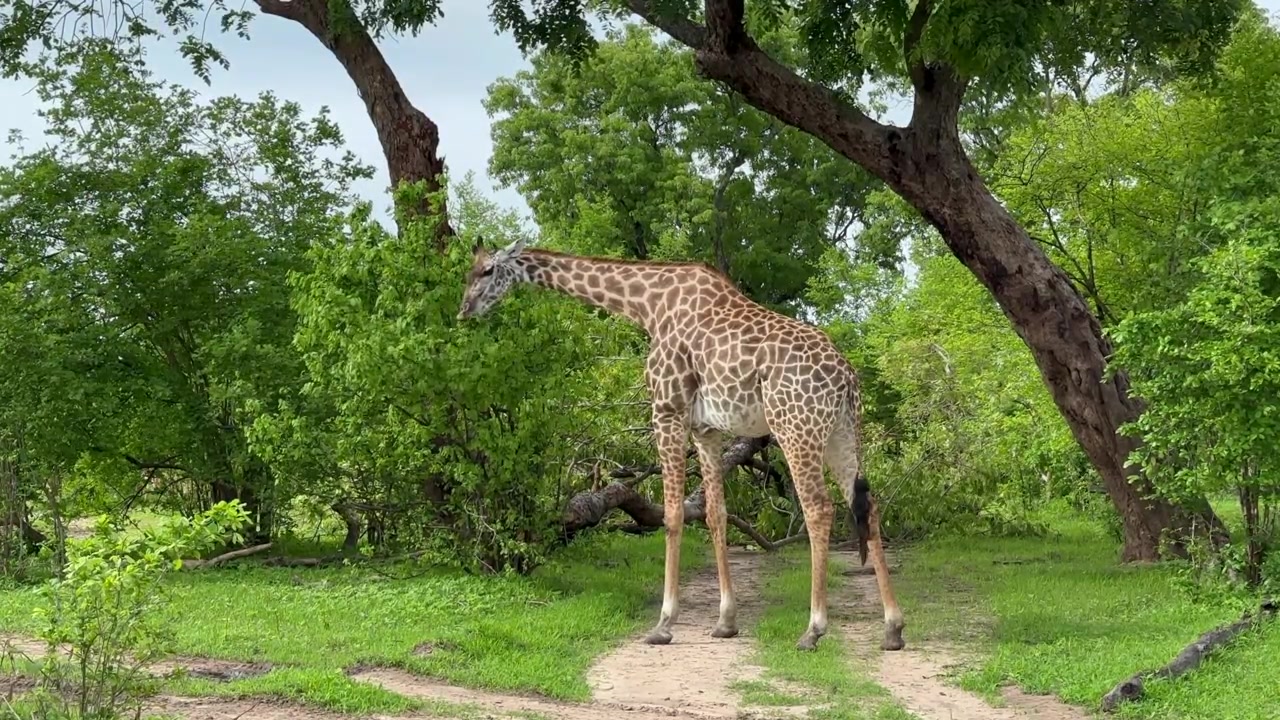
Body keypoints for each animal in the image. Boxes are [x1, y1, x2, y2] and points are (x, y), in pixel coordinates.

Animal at [456, 236, 905, 652]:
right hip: (842, 433)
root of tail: (847, 377)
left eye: (488, 271)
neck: (647, 305)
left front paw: (663, 624)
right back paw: (892, 629)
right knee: (868, 505)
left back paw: (813, 630)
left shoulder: (666, 410)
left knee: (819, 509)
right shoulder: (706, 428)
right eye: (469, 270)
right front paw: (725, 622)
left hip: (796, 427)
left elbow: (672, 514)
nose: (464, 310)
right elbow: (715, 514)